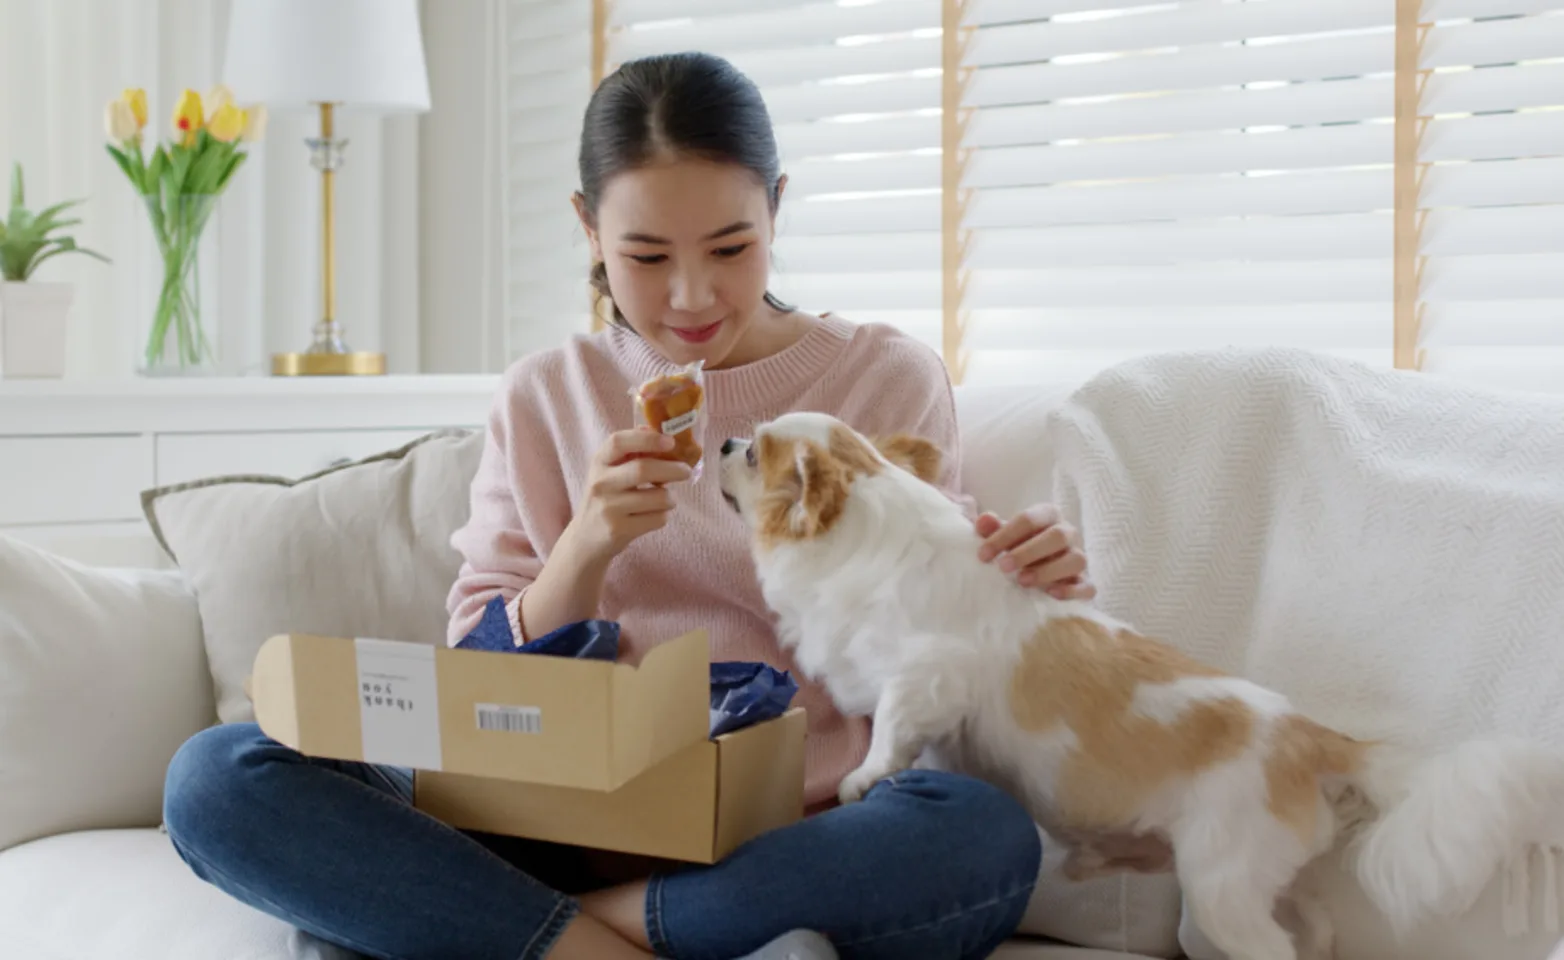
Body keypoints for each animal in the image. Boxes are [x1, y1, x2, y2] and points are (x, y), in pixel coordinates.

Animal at [716, 412, 1564, 960]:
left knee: (1276, 946)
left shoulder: (927, 674)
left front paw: (864, 779)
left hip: (1220, 887)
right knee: (1316, 921)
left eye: (754, 455)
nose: (721, 439)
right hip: (1262, 874)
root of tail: (1312, 736)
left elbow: (892, 730)